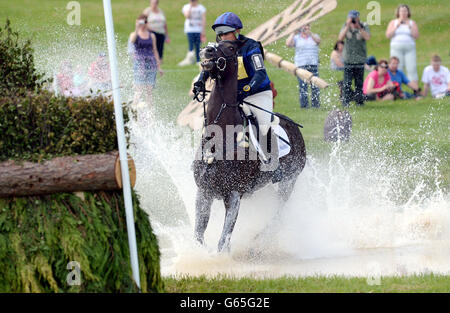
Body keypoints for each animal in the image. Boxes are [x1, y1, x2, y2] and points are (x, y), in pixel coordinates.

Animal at [190, 39, 306, 254]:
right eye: (215, 42)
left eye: (229, 48)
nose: (207, 51)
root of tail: (294, 127)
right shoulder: (204, 192)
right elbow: (199, 236)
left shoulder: (234, 195)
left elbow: (223, 240)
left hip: (288, 180)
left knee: (278, 214)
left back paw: (258, 242)